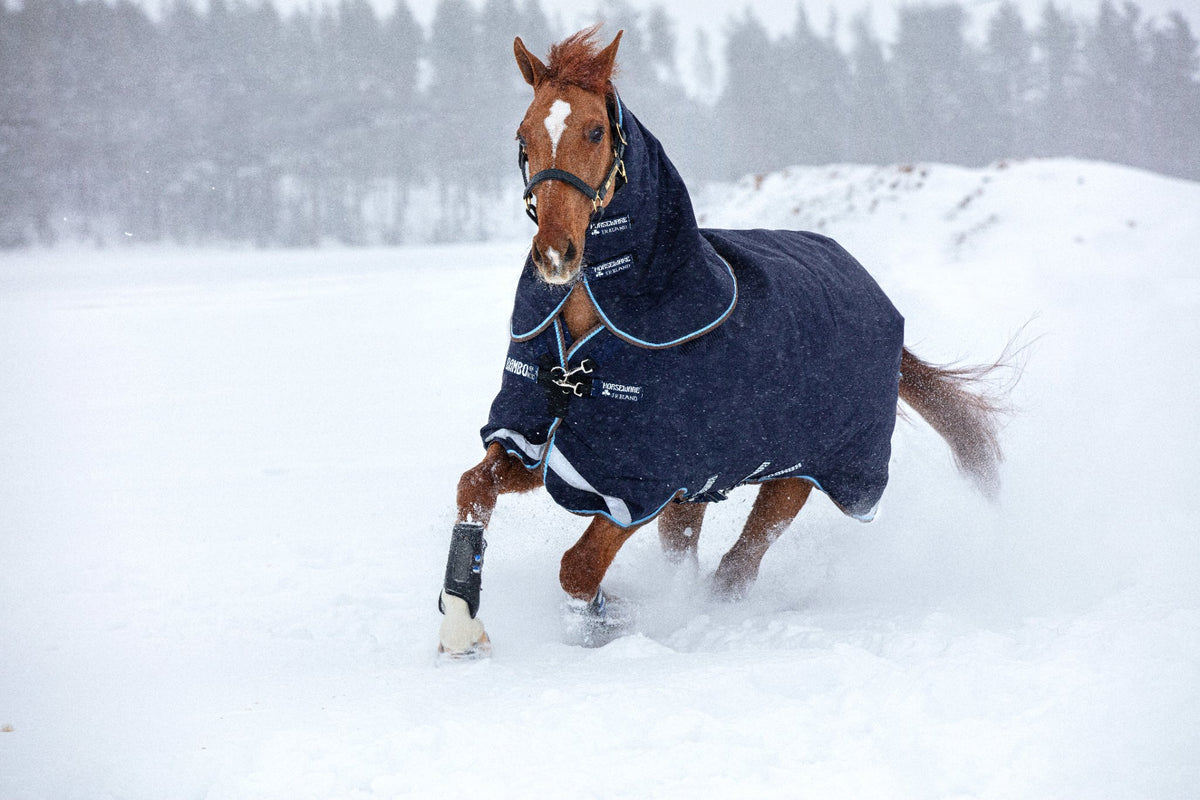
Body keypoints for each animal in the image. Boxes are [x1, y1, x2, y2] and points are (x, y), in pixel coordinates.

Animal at [437, 28, 1009, 658]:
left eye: (594, 131)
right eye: (524, 134)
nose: (556, 254)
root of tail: (878, 299)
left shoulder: (642, 482)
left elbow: (578, 567)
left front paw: (609, 620)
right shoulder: (546, 444)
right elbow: (474, 486)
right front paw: (461, 623)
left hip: (801, 473)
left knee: (737, 568)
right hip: (705, 491)